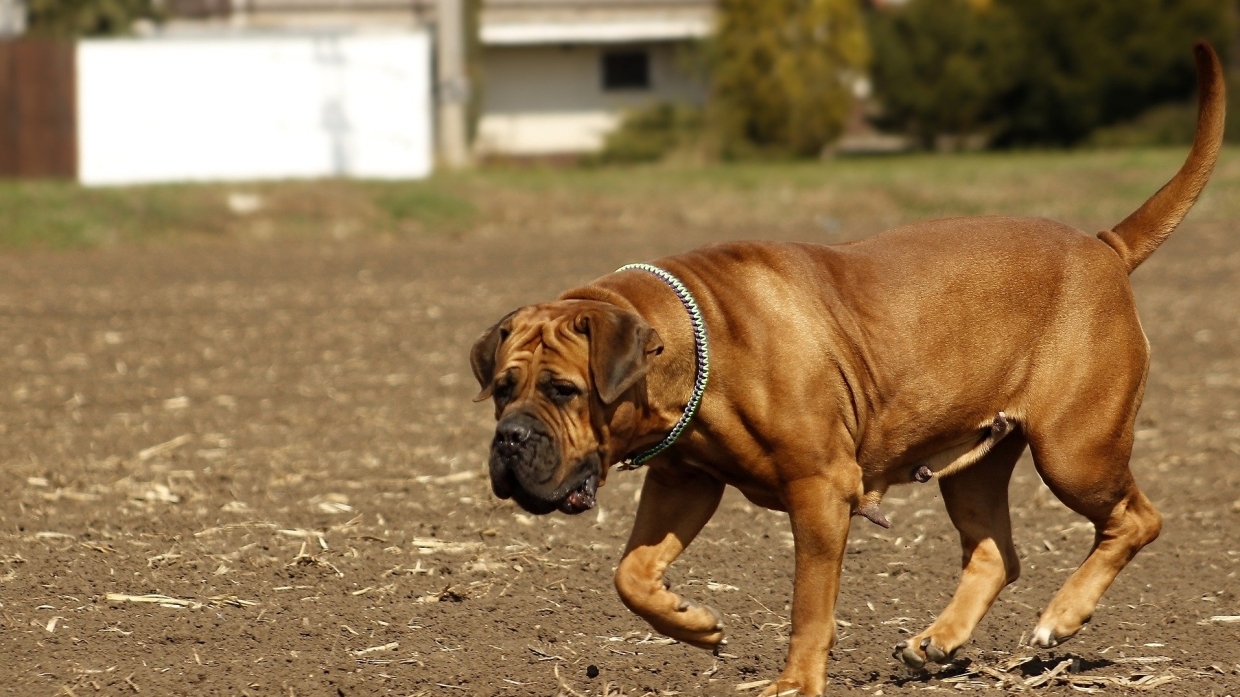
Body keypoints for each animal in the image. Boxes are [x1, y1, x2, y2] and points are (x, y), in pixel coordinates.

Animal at [468, 43, 1225, 694]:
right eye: (502, 389)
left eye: (564, 390)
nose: (510, 438)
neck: (693, 347)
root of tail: (1104, 247)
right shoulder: (685, 480)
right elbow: (631, 572)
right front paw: (695, 623)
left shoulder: (820, 490)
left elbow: (809, 603)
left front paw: (796, 681)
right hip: (978, 464)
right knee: (996, 553)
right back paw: (937, 640)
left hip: (1075, 450)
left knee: (1137, 519)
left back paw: (1060, 618)